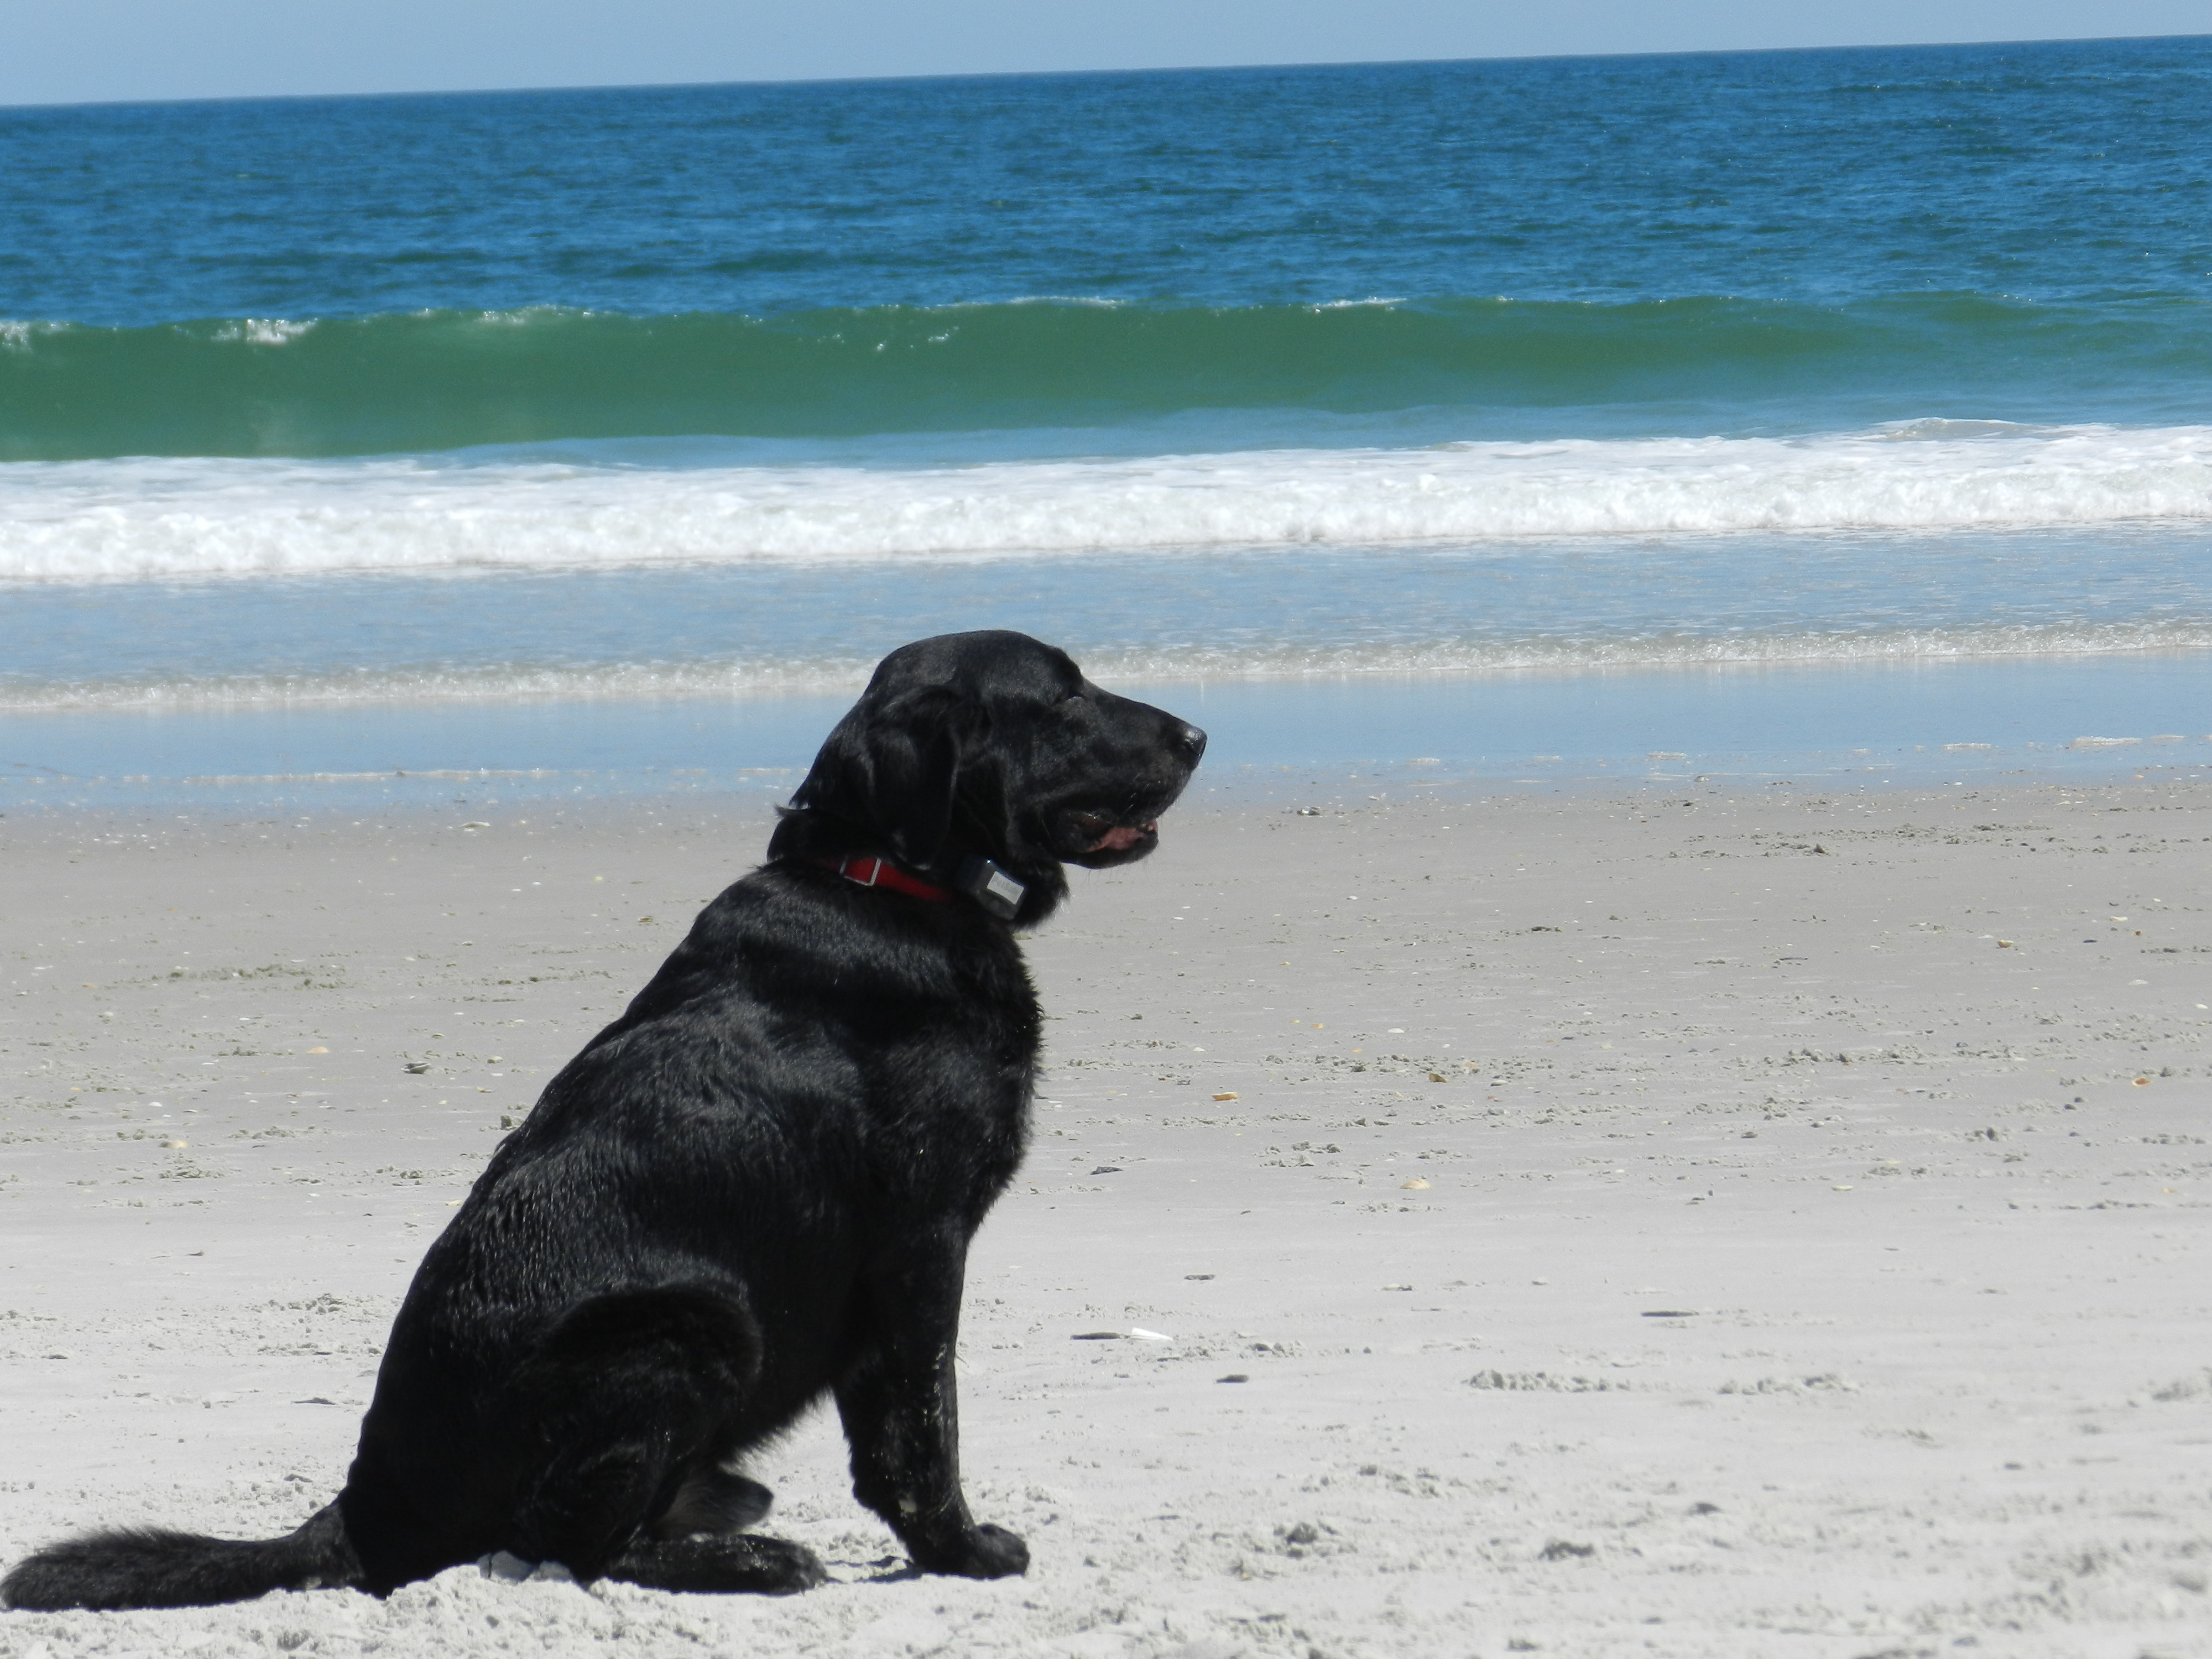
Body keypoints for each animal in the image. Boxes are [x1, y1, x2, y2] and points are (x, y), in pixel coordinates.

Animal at [3, 630, 1204, 1611]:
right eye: (1062, 694)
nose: (1198, 733)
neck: (884, 878)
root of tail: (366, 1504)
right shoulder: (921, 1241)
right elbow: (922, 1429)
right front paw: (963, 1553)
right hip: (688, 1323)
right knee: (568, 1548)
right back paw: (750, 1561)